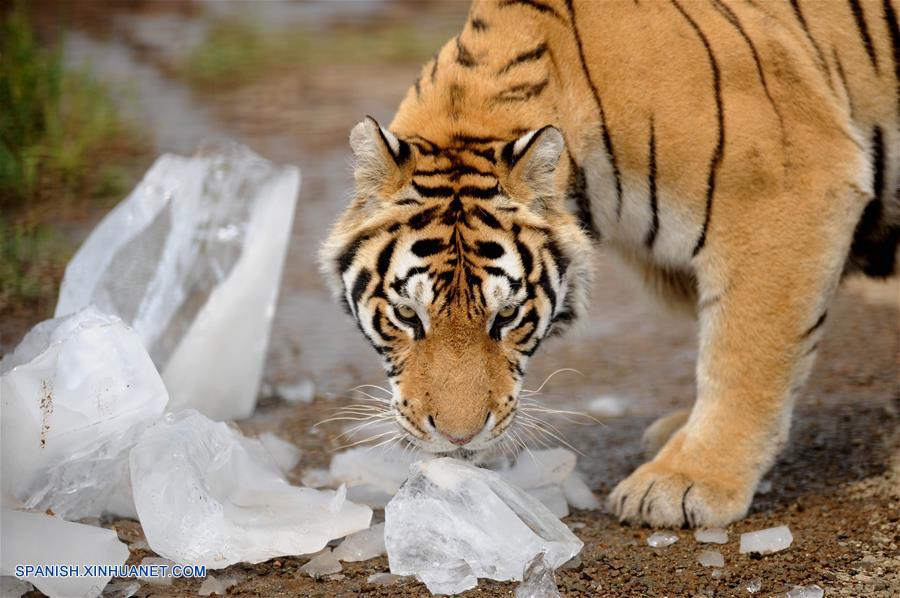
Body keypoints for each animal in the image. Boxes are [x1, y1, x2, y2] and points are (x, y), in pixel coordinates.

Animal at [320, 0, 896, 528]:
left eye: (506, 317)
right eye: (407, 316)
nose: (459, 436)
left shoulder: (788, 191)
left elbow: (745, 352)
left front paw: (687, 481)